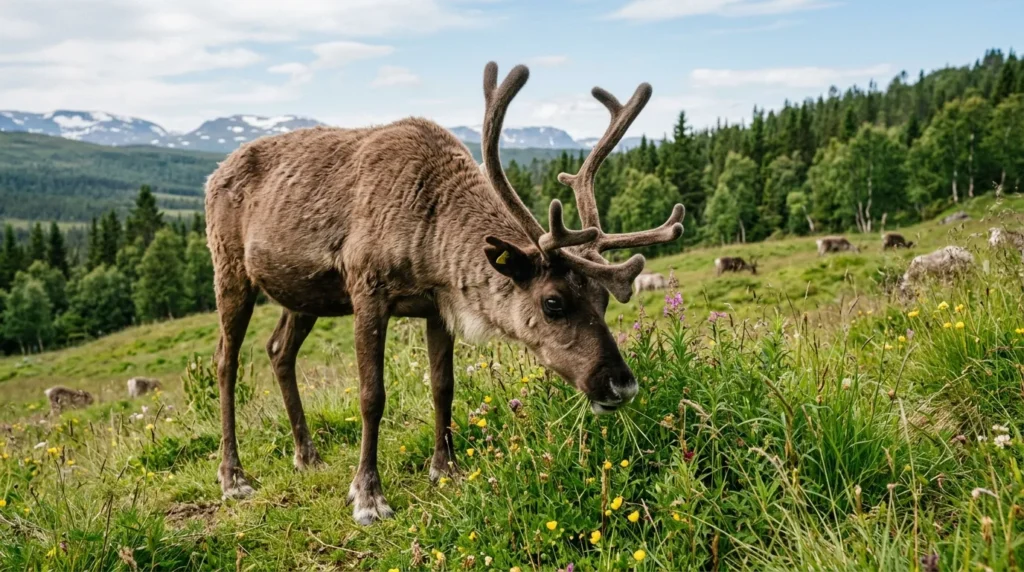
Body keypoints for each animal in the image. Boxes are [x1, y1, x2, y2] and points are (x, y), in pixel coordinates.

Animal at [204, 62, 684, 524]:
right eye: (553, 303)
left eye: (604, 299)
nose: (622, 384)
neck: (430, 238)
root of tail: (215, 172)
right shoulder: (367, 290)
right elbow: (372, 395)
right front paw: (368, 496)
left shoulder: (437, 306)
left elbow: (443, 386)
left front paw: (445, 468)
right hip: (229, 268)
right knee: (226, 360)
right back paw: (233, 477)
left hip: (303, 294)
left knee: (278, 350)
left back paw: (306, 456)